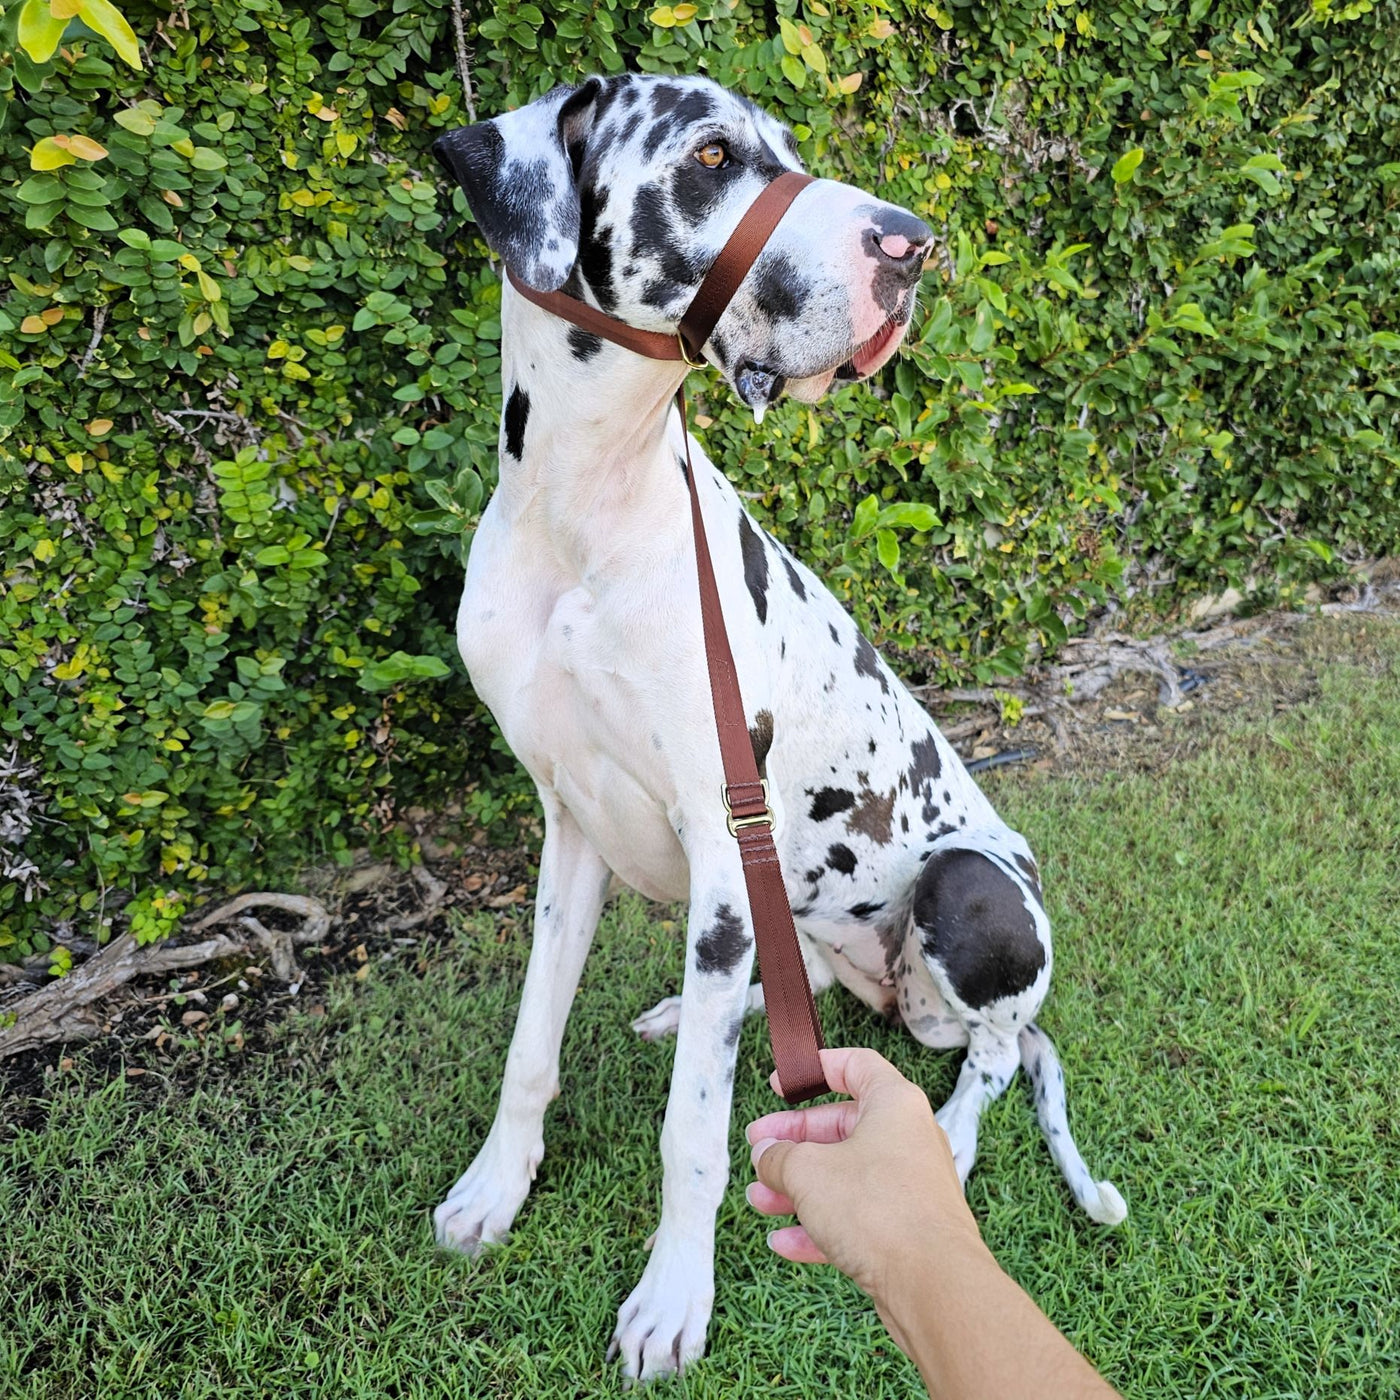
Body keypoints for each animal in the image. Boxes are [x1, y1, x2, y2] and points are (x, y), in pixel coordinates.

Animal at [428, 73, 1125, 1377]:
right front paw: (497, 1186)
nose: (912, 244)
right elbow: (529, 1048)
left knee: (993, 1053)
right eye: (711, 155)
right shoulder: (569, 830)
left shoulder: (719, 843)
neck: (582, 513)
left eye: (789, 147)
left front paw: (672, 1294)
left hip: (965, 885)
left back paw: (945, 1137)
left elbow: (693, 1131)